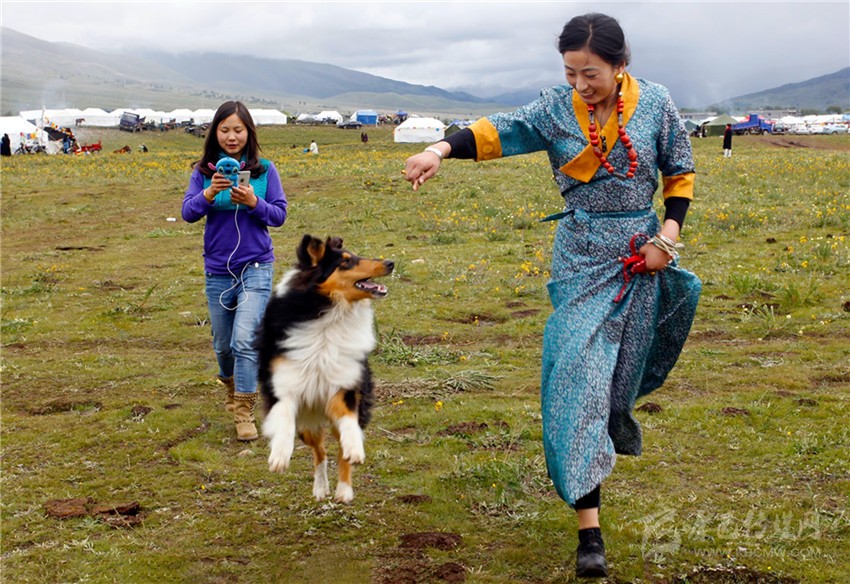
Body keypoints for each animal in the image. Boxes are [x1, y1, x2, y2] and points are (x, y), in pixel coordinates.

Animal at [256, 235, 394, 503]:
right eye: (346, 261)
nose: (390, 263)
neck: (330, 312)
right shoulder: (284, 383)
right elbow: (284, 418)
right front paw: (279, 455)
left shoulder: (344, 382)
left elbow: (349, 426)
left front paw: (354, 449)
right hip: (307, 422)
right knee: (319, 451)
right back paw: (320, 487)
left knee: (339, 451)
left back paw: (344, 490)